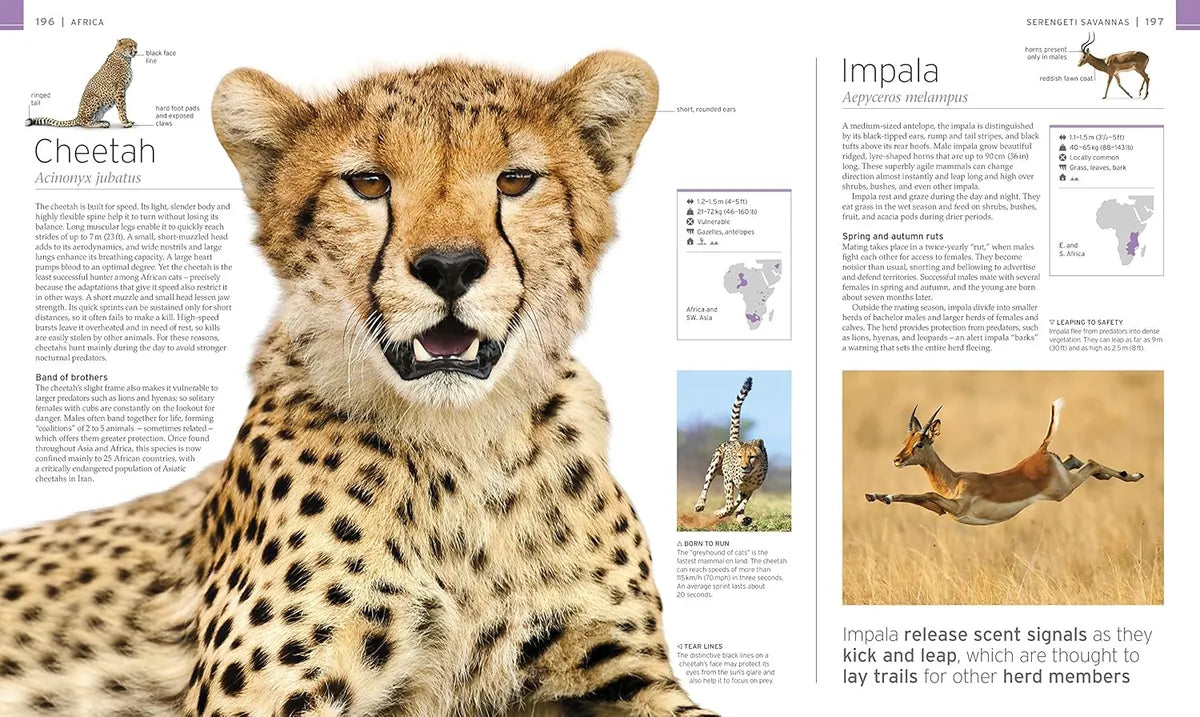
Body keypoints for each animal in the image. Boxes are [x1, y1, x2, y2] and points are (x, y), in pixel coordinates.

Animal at [692, 377, 769, 526]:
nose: (744, 467)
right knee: (706, 485)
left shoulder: (748, 489)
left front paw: (725, 513)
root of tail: (734, 440)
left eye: (751, 457)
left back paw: (742, 517)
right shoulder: (729, 478)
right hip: (714, 464)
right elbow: (729, 504)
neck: (749, 475)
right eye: (739, 457)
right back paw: (700, 504)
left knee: (739, 504)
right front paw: (720, 512)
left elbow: (736, 504)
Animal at [865, 399, 1143, 525]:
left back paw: (1133, 475)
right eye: (906, 440)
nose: (897, 460)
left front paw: (882, 496)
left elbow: (925, 492)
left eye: (920, 444)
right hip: (1064, 475)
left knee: (1092, 462)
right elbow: (916, 496)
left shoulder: (958, 507)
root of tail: (1040, 451)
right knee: (1074, 458)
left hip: (1063, 490)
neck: (954, 480)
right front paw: (876, 495)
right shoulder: (942, 509)